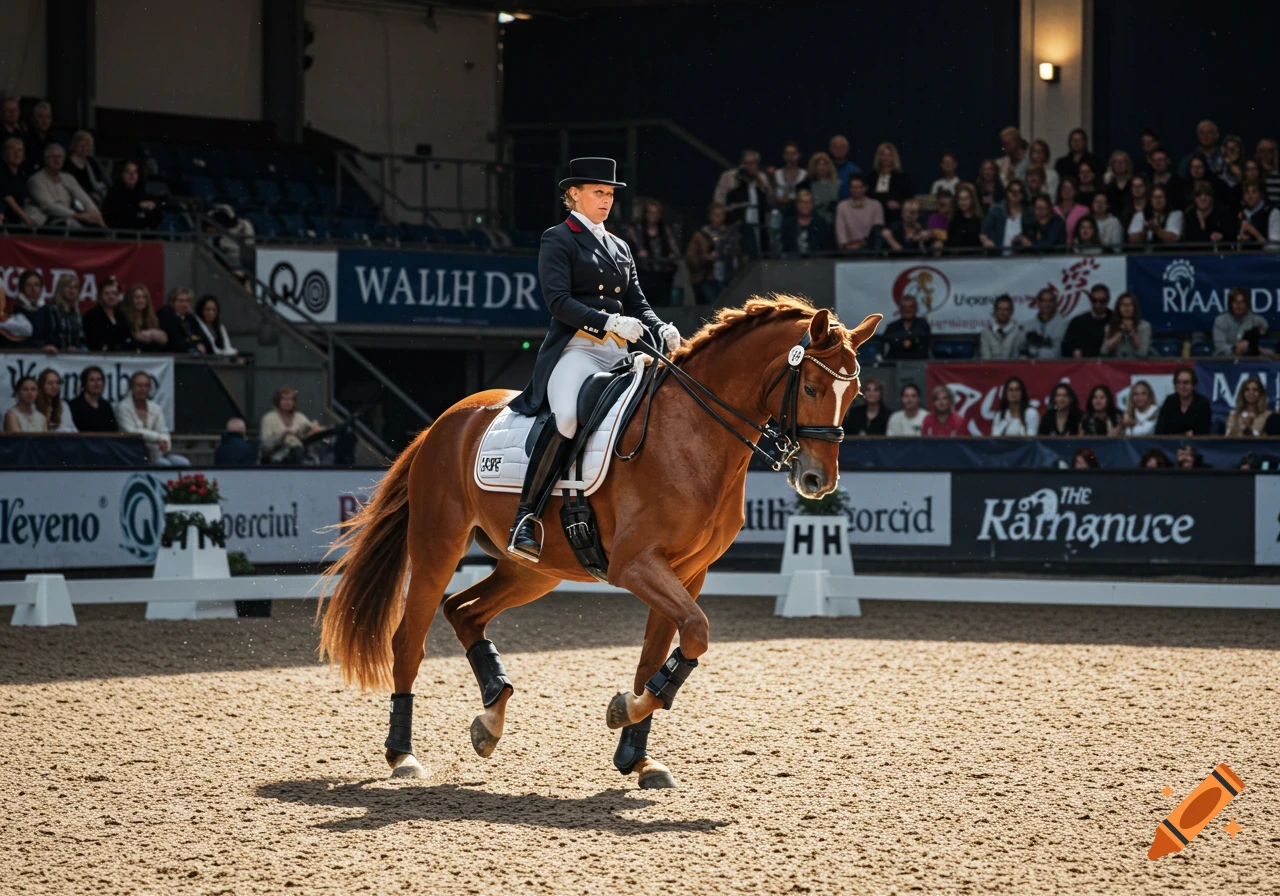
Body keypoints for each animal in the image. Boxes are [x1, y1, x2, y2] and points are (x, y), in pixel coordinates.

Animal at [318, 295, 881, 788]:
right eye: (812, 388)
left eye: (853, 395)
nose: (818, 481)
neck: (694, 434)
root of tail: (443, 421)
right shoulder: (635, 565)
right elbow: (697, 633)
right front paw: (622, 713)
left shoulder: (687, 572)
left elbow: (659, 656)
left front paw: (638, 756)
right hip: (438, 545)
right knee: (409, 640)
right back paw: (402, 754)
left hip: (534, 569)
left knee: (465, 611)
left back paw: (490, 718)